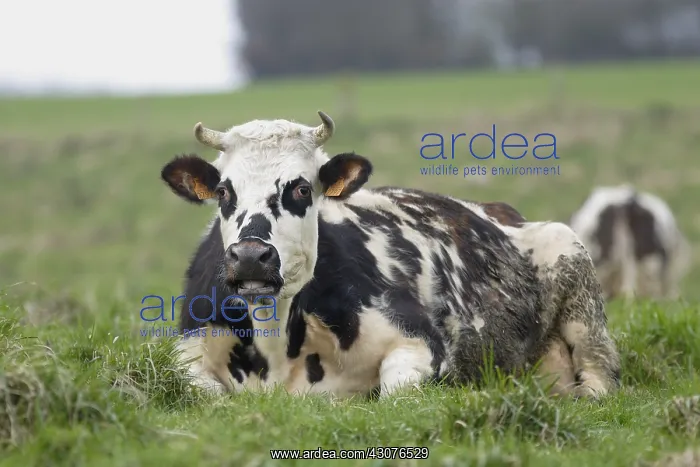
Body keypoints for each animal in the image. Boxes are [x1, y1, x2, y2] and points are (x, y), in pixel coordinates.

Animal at [159, 111, 621, 400]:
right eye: (223, 191)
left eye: (302, 188)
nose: (251, 256)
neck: (275, 346)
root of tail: (504, 211)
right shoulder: (186, 353)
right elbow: (205, 393)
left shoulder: (420, 340)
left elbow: (395, 393)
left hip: (579, 287)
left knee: (602, 372)